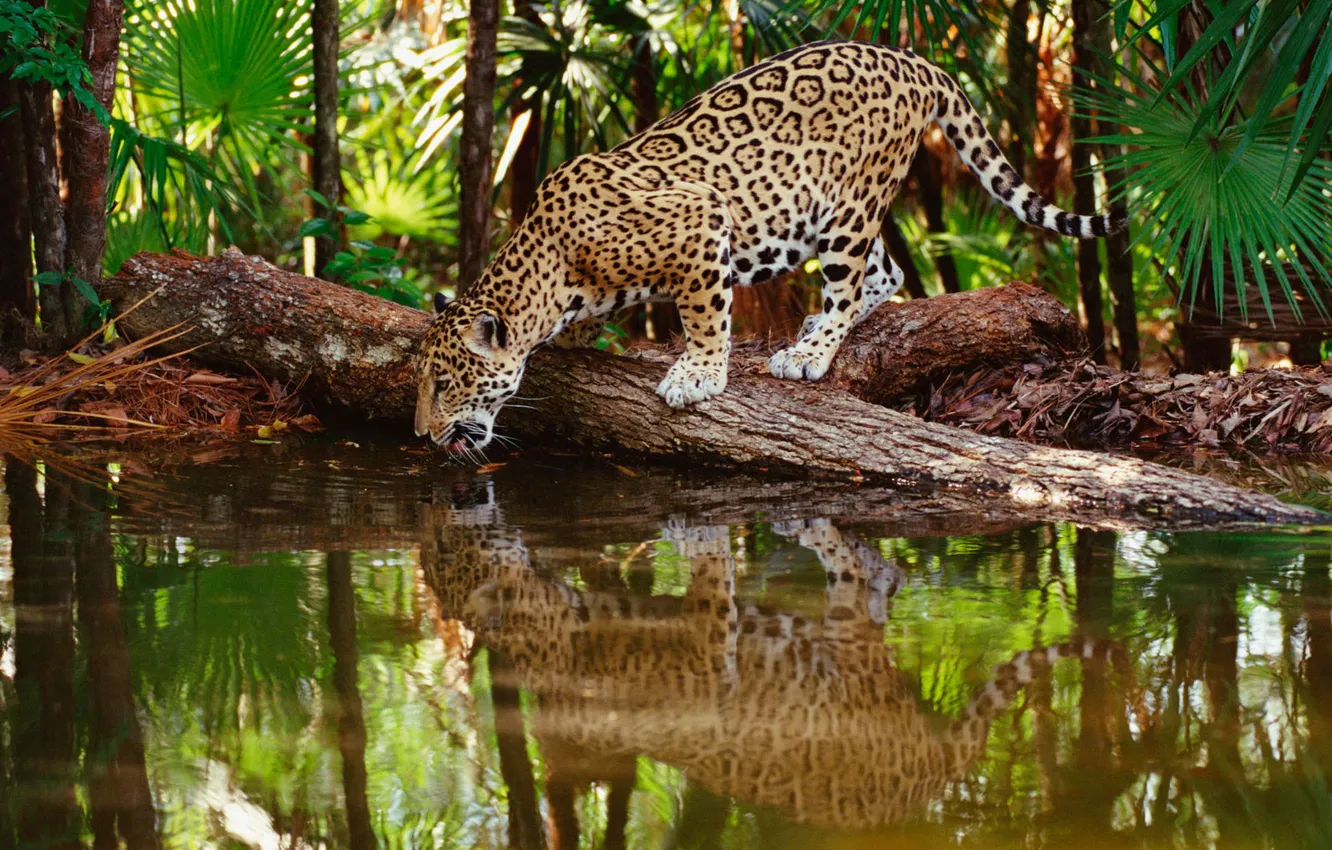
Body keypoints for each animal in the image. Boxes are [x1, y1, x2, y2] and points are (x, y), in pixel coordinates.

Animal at [414, 38, 1126, 452]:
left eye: (446, 384)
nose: (422, 434)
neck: (550, 267)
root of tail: (911, 58)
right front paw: (580, 338)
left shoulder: (701, 220)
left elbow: (705, 315)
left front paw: (698, 374)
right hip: (825, 212)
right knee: (888, 271)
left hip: (849, 205)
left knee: (851, 281)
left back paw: (809, 352)